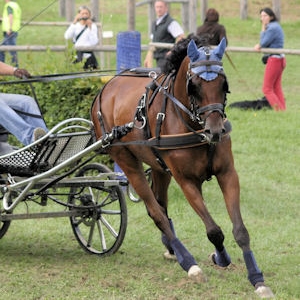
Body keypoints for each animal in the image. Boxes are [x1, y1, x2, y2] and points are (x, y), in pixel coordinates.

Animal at [91, 37, 274, 298]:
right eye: (194, 86)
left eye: (223, 83)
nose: (215, 131)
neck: (192, 124)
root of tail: (106, 88)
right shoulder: (186, 181)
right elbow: (214, 230)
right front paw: (219, 258)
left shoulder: (227, 174)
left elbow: (240, 230)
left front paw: (257, 279)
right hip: (127, 161)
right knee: (156, 213)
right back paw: (189, 263)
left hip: (158, 167)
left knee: (160, 206)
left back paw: (172, 249)